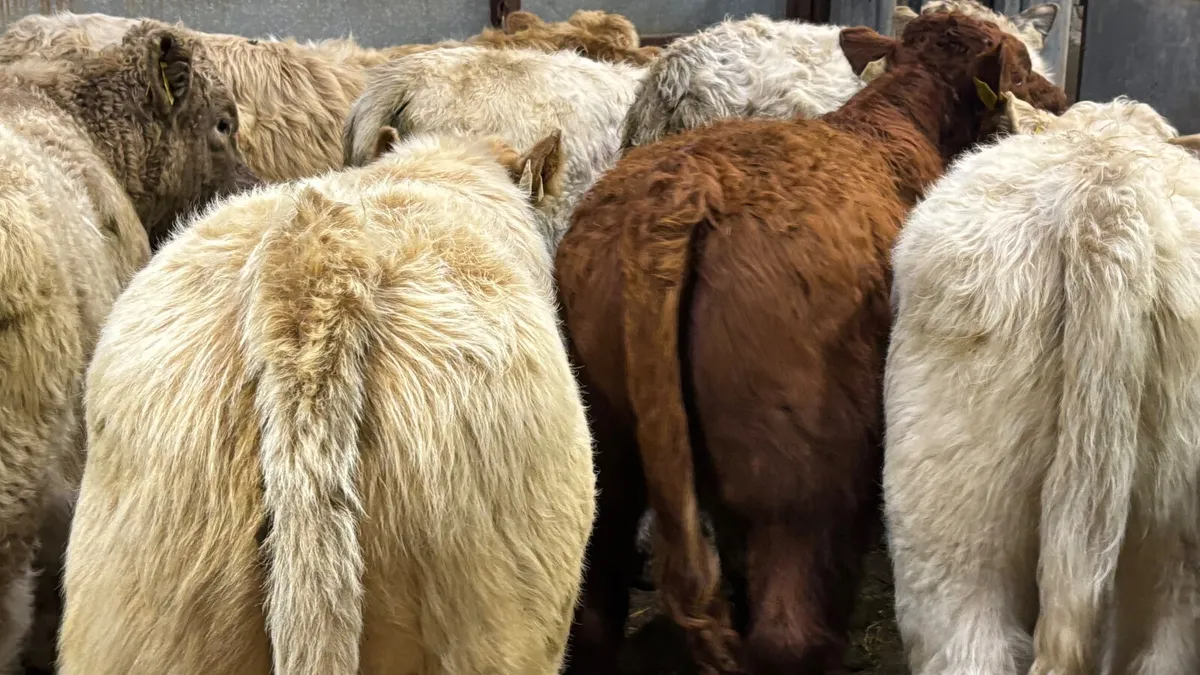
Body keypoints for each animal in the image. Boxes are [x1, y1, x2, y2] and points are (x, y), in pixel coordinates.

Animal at [554, 10, 1067, 675]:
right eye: (1024, 66)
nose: (1058, 101)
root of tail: (678, 195)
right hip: (800, 478)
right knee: (789, 631)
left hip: (610, 450)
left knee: (597, 602)